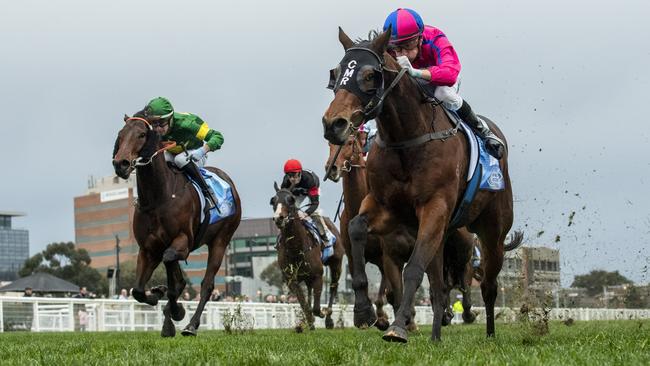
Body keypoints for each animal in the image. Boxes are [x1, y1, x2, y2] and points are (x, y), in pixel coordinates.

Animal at [112, 116, 242, 338]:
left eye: (141, 134)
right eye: (120, 135)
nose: (121, 163)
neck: (158, 198)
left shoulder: (183, 240)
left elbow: (174, 278)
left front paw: (176, 310)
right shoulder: (148, 249)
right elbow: (137, 290)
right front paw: (159, 295)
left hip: (221, 241)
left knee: (207, 285)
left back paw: (191, 325)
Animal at [322, 27, 520, 342]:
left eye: (370, 74)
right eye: (337, 72)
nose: (333, 124)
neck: (408, 138)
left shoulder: (434, 208)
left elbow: (413, 269)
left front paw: (398, 326)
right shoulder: (384, 207)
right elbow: (356, 229)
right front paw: (363, 311)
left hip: (492, 231)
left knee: (488, 284)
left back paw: (488, 332)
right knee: (439, 287)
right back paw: (437, 334)